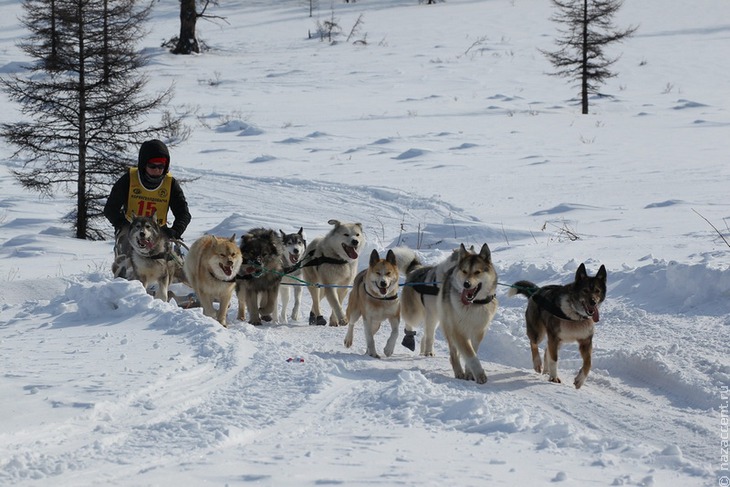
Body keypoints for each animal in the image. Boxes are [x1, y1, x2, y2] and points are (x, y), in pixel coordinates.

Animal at [436, 244, 498, 386]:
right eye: (464, 271)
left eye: (477, 272)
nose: (466, 284)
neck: (474, 304)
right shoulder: (459, 332)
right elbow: (471, 355)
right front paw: (480, 375)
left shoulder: (479, 332)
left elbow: (472, 352)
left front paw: (470, 373)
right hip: (449, 328)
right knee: (453, 353)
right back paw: (459, 372)